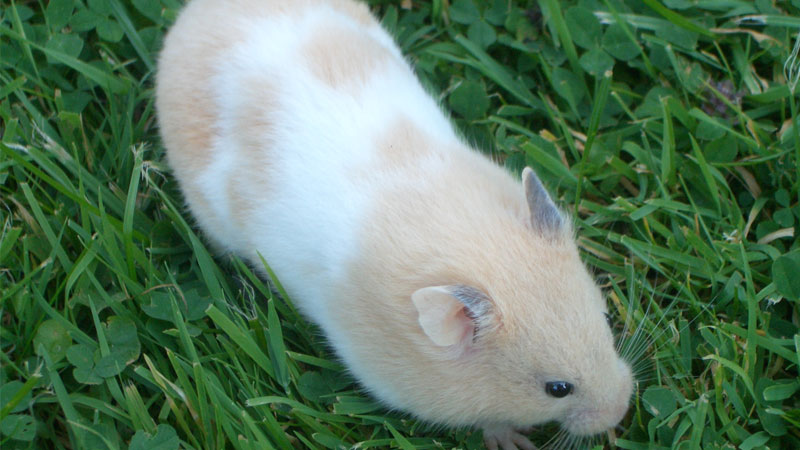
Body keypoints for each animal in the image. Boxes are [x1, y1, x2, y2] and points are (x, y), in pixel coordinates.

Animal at [155, 1, 634, 449]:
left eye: (606, 321)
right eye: (558, 389)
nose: (623, 409)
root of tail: (192, 14)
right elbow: (489, 420)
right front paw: (511, 439)